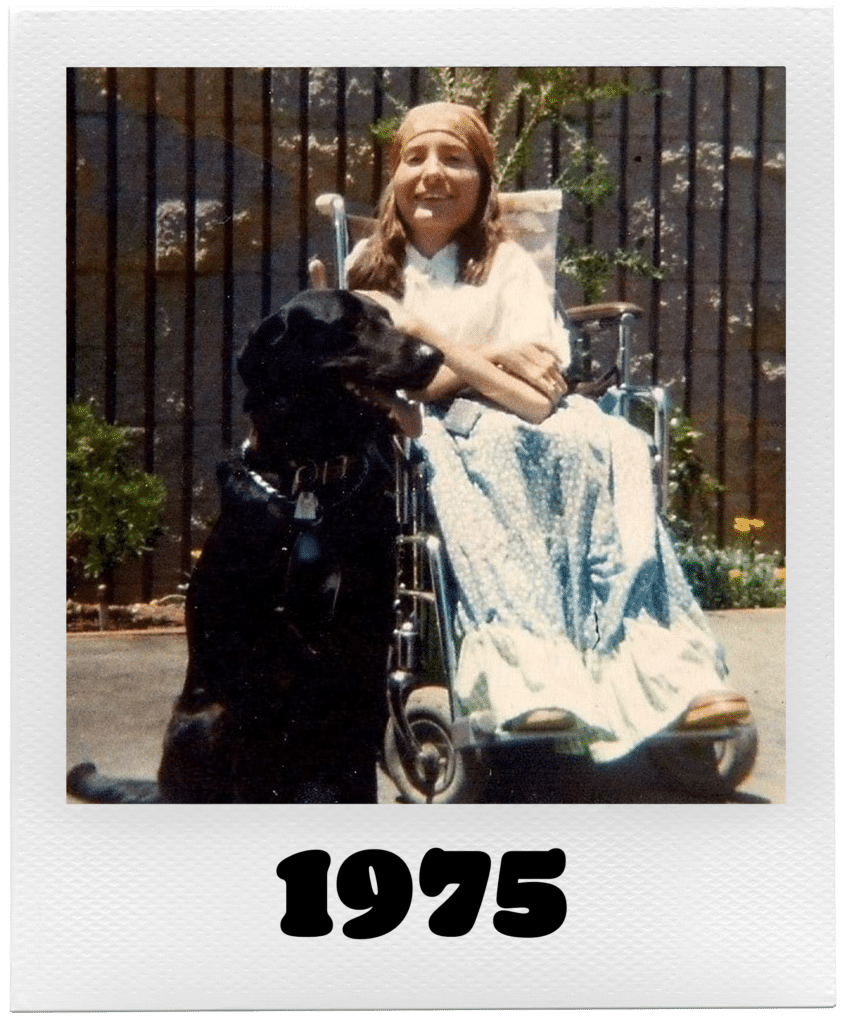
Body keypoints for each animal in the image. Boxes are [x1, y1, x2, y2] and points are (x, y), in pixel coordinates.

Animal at [67, 288, 442, 798]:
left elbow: (359, 775)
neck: (311, 484)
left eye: (387, 319)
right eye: (350, 325)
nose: (435, 357)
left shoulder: (366, 657)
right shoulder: (252, 675)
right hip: (203, 721)